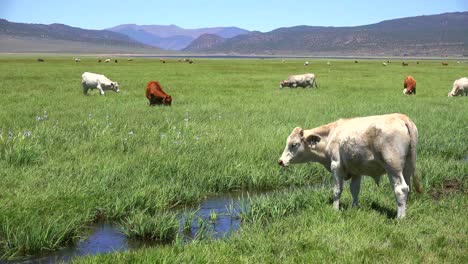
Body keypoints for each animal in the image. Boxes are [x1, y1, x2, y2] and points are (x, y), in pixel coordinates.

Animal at [276, 113, 422, 219]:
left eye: (294, 144)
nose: (280, 161)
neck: (331, 135)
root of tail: (402, 117)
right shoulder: (356, 170)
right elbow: (355, 189)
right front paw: (354, 207)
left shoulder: (336, 166)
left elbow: (337, 190)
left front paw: (335, 209)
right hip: (407, 168)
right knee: (407, 188)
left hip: (393, 168)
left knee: (400, 189)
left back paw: (400, 218)